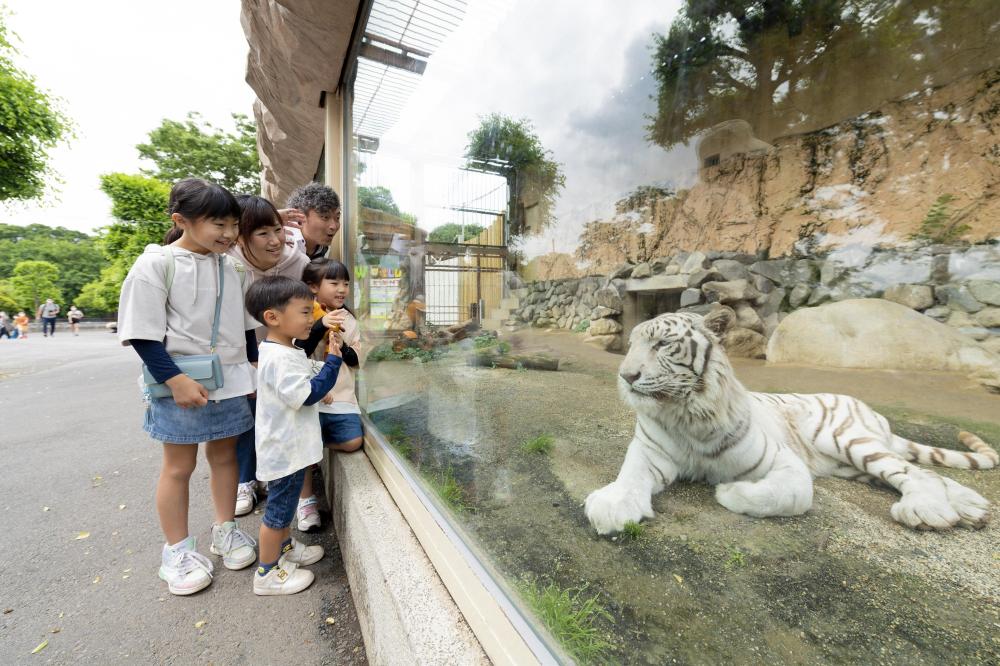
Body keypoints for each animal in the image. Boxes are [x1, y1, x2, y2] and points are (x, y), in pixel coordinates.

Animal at [584, 312, 996, 536]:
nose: (626, 376)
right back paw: (972, 507)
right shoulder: (648, 452)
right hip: (849, 465)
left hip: (846, 439)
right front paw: (613, 506)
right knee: (922, 472)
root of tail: (872, 412)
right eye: (632, 344)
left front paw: (728, 490)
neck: (687, 414)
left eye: (662, 345)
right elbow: (630, 476)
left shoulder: (783, 462)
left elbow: (791, 495)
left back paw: (930, 511)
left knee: (914, 473)